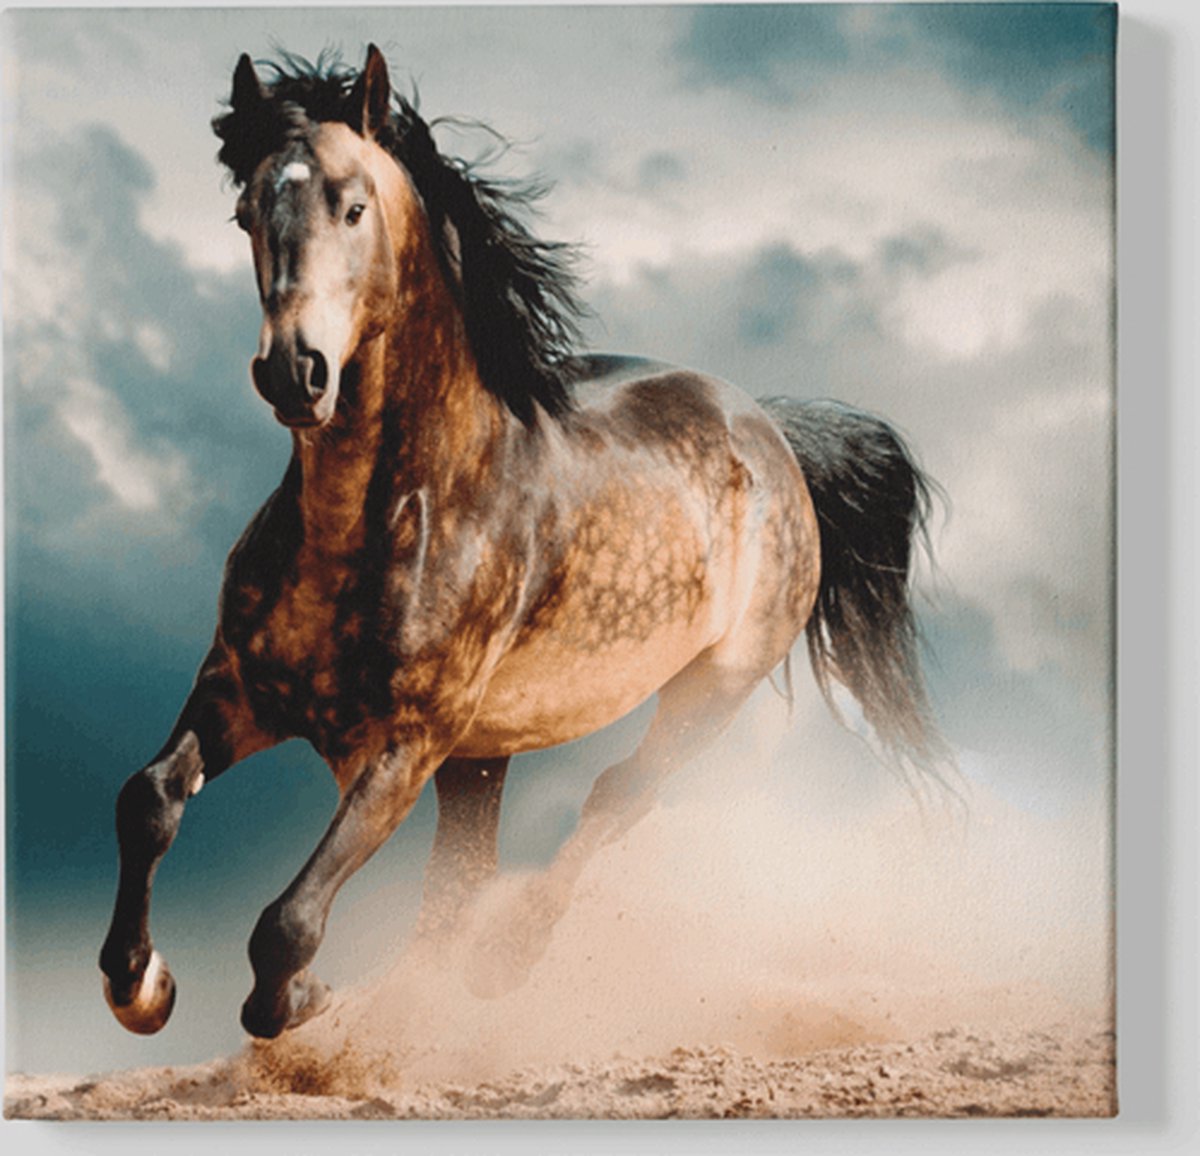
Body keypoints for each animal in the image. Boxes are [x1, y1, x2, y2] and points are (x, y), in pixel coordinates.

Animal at [99, 45, 949, 1041]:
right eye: (245, 213)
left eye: (353, 206)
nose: (294, 372)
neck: (378, 519)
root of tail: (772, 430)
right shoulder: (240, 690)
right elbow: (148, 799)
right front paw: (140, 986)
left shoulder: (406, 742)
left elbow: (288, 923)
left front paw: (301, 1000)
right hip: (484, 755)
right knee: (461, 880)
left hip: (709, 690)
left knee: (614, 797)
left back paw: (503, 962)